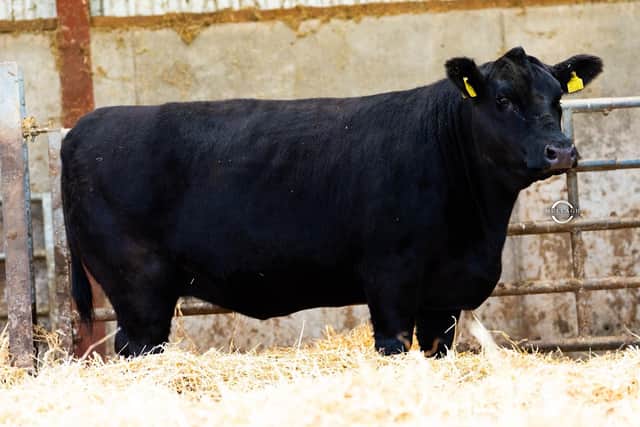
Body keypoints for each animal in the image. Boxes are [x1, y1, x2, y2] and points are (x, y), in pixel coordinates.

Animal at [61, 47, 602, 357]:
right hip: (138, 286)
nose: (561, 150)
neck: (479, 227)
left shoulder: (444, 297)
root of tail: (84, 127)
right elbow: (394, 345)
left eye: (557, 98)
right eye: (503, 99)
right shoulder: (389, 281)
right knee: (135, 348)